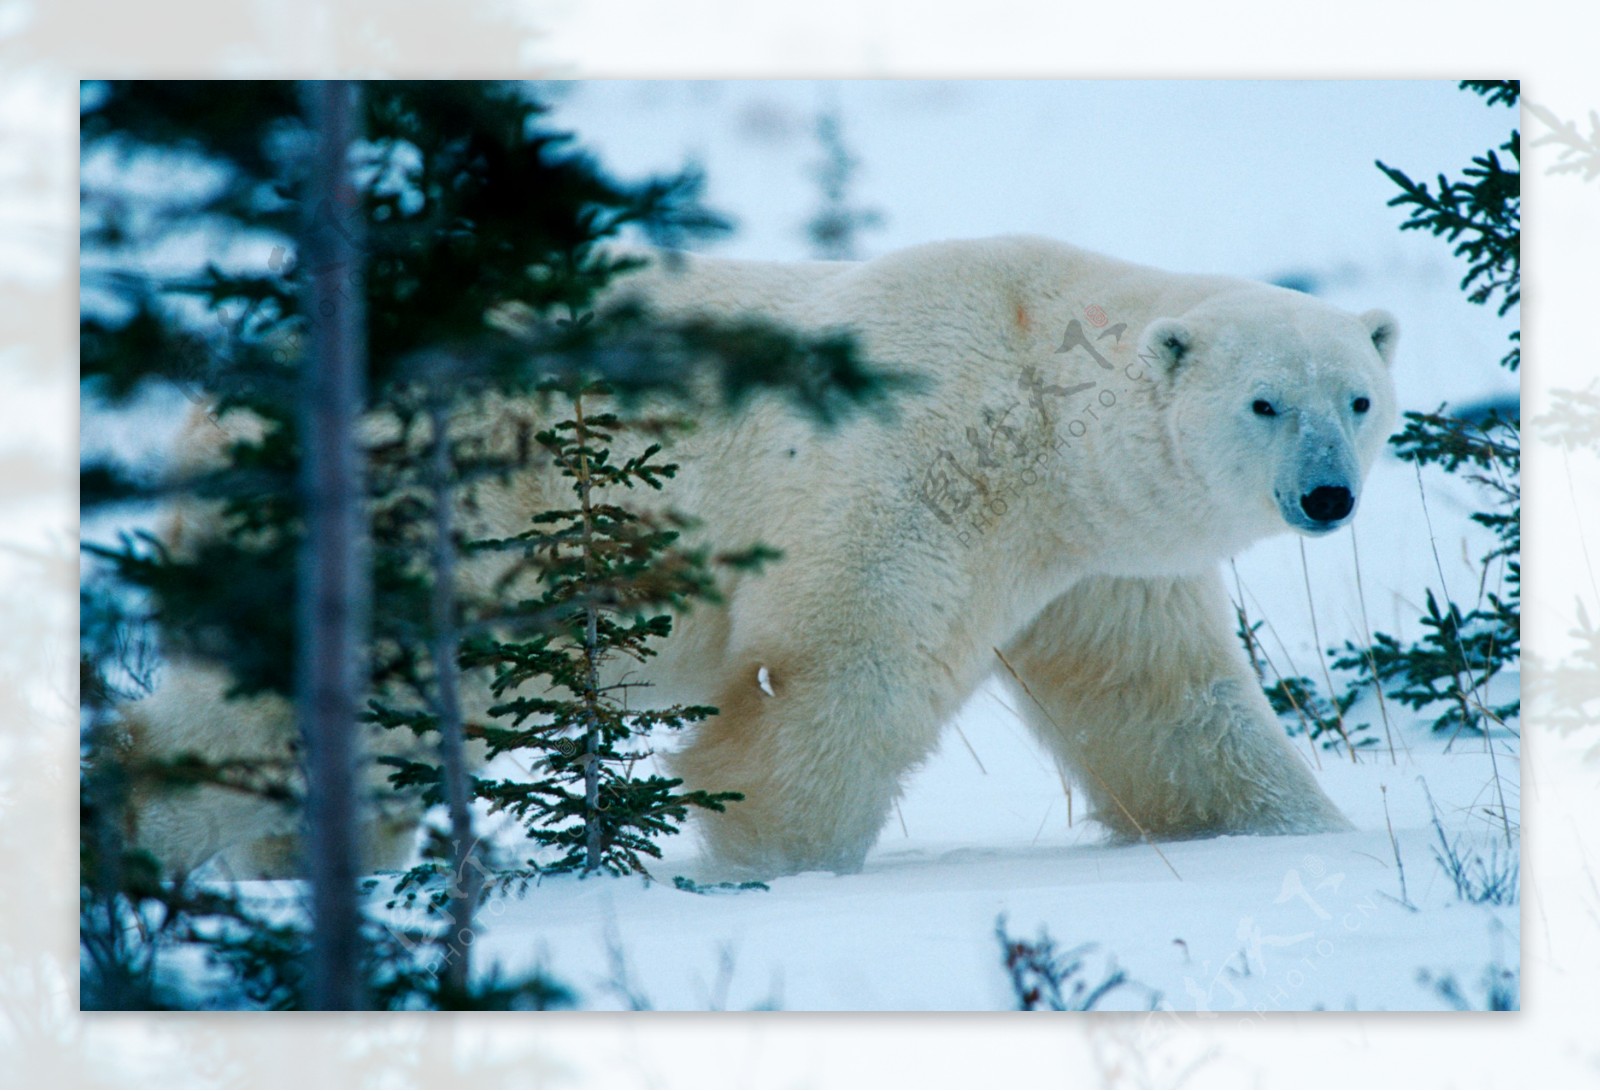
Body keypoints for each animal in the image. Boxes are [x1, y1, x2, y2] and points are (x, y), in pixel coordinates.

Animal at [121, 235, 1401, 876]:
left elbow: (1164, 702)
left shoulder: (1099, 561)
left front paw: (1300, 836)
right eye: (1262, 402)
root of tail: (213, 409)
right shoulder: (910, 477)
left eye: (1358, 396)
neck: (1034, 398)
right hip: (430, 519)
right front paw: (765, 867)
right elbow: (831, 677)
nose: (1328, 494)